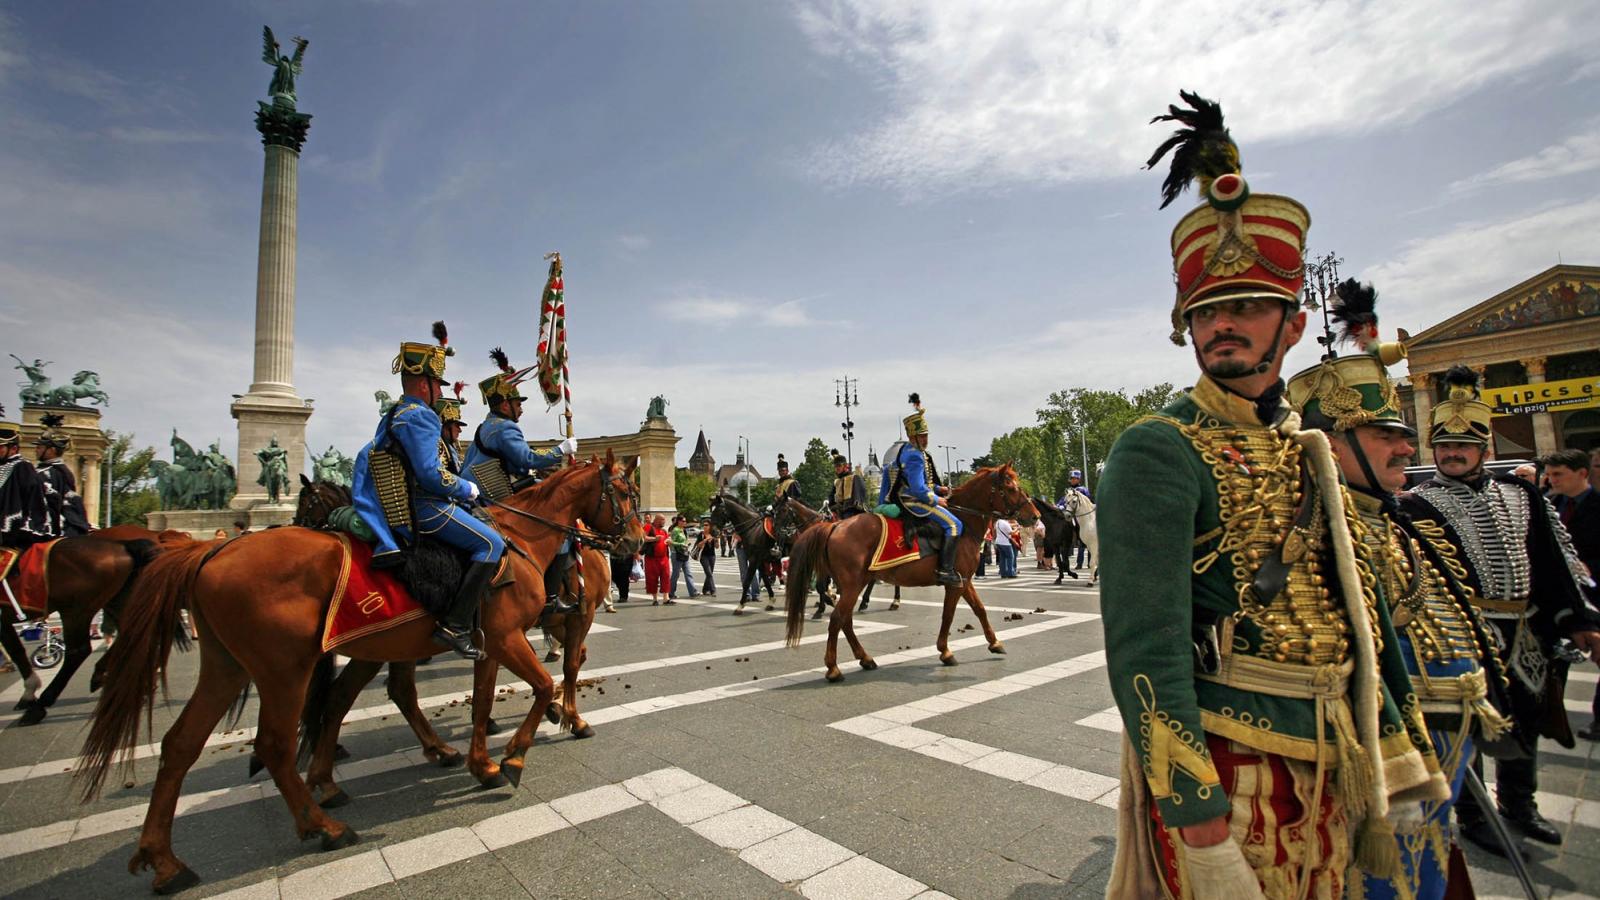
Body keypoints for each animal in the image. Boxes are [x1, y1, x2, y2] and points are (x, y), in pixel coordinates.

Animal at [1, 525, 190, 720]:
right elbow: (16, 649)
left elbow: (16, 650)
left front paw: (29, 693)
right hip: (117, 601)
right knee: (135, 635)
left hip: (78, 608)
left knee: (79, 650)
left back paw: (42, 704)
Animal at [78, 451, 643, 890]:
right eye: (624, 493)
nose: (635, 544)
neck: (522, 538)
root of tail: (210, 551)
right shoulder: (515, 635)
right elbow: (550, 679)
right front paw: (520, 754)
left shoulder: (493, 641)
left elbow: (490, 698)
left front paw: (485, 762)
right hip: (285, 668)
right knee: (278, 743)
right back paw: (324, 824)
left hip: (231, 666)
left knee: (184, 743)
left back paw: (166, 861)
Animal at [787, 461, 1036, 679]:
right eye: (1011, 488)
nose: (1035, 516)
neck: (964, 523)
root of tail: (835, 525)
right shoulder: (956, 583)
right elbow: (948, 614)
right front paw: (945, 651)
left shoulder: (964, 580)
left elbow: (980, 609)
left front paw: (994, 643)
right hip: (852, 585)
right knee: (838, 619)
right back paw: (833, 668)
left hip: (851, 585)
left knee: (845, 619)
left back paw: (865, 658)